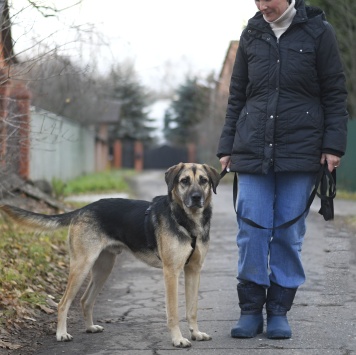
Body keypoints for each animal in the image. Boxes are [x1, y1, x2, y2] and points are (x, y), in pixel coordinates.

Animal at [0, 163, 220, 348]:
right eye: (184, 181)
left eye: (203, 181)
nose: (196, 198)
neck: (188, 221)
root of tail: (82, 209)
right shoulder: (171, 272)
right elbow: (173, 312)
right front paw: (178, 339)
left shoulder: (193, 271)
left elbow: (192, 309)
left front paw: (196, 333)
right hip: (82, 266)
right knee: (63, 303)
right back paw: (61, 334)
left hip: (103, 268)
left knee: (85, 300)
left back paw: (90, 327)